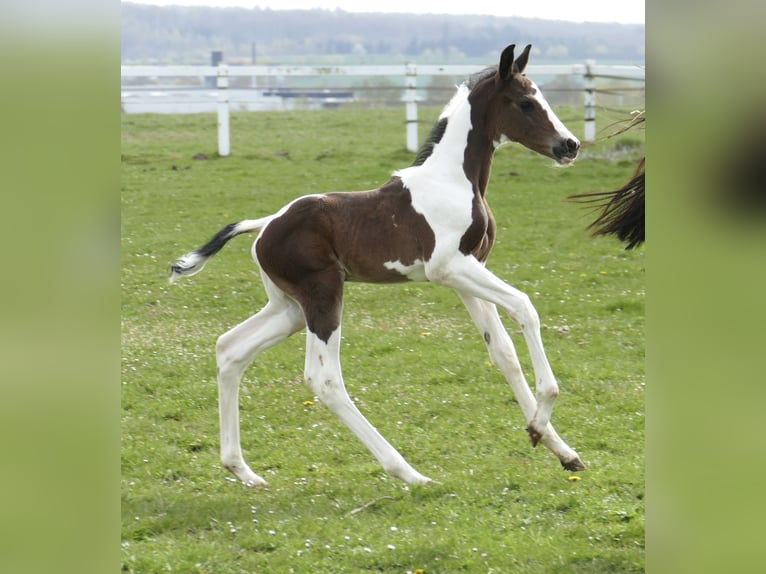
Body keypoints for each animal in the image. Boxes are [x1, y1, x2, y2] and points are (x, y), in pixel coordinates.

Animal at [169, 44, 585, 488]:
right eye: (526, 102)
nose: (570, 145)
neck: (453, 179)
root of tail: (265, 225)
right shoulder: (449, 268)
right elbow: (525, 307)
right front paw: (542, 418)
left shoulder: (468, 272)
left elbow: (503, 352)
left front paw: (556, 445)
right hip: (323, 296)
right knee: (324, 379)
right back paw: (410, 473)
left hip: (289, 308)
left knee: (230, 349)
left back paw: (243, 471)